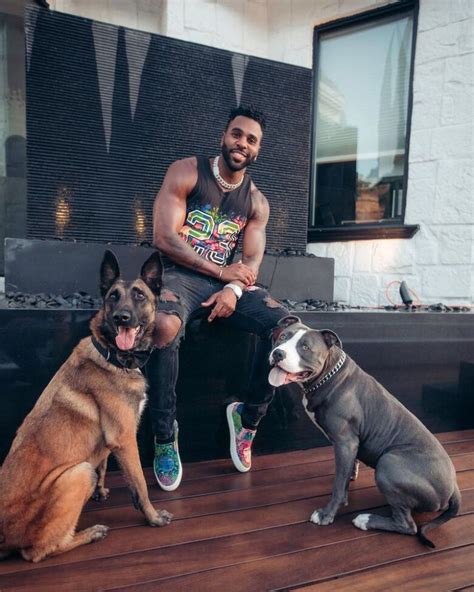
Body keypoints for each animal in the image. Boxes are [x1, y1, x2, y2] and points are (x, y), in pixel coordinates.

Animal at [0, 250, 172, 562]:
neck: (112, 356)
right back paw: (90, 534)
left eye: (139, 295)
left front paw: (101, 492)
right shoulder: (125, 439)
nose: (121, 317)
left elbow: (103, 464)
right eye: (113, 296)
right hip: (78, 473)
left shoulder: (109, 441)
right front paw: (153, 517)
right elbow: (140, 484)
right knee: (38, 551)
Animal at [269, 315, 460, 547]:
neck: (329, 375)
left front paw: (327, 514)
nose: (278, 353)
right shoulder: (351, 446)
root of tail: (453, 488)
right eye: (282, 337)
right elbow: (345, 475)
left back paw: (366, 520)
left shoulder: (345, 442)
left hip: (389, 463)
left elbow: (337, 485)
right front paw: (347, 486)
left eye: (305, 347)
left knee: (408, 526)